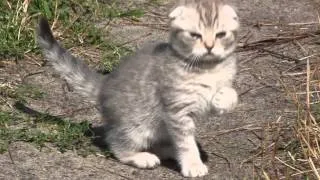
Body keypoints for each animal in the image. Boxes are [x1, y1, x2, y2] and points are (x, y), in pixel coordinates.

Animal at [36, 0, 239, 177]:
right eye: (195, 35)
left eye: (220, 34)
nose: (209, 46)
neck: (207, 68)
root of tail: (105, 84)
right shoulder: (177, 110)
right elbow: (185, 142)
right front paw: (193, 164)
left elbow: (230, 94)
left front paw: (224, 97)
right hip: (136, 126)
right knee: (116, 142)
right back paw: (141, 157)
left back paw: (168, 150)